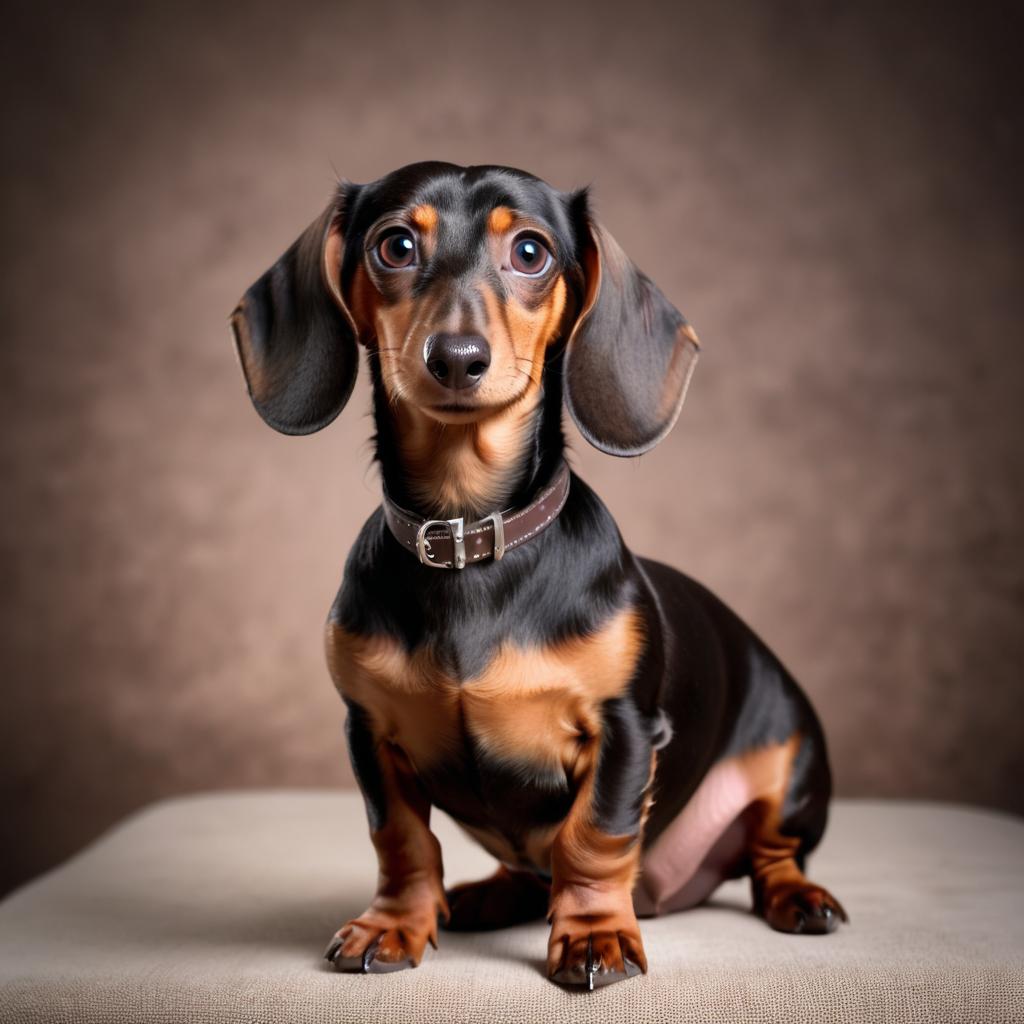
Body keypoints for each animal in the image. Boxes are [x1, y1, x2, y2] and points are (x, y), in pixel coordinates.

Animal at [232, 161, 847, 991]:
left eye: (531, 252)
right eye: (394, 245)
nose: (457, 357)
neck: (469, 536)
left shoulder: (624, 728)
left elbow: (594, 836)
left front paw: (594, 935)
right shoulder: (369, 732)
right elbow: (400, 840)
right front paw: (393, 925)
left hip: (791, 765)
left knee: (771, 855)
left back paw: (798, 897)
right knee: (525, 869)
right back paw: (486, 895)